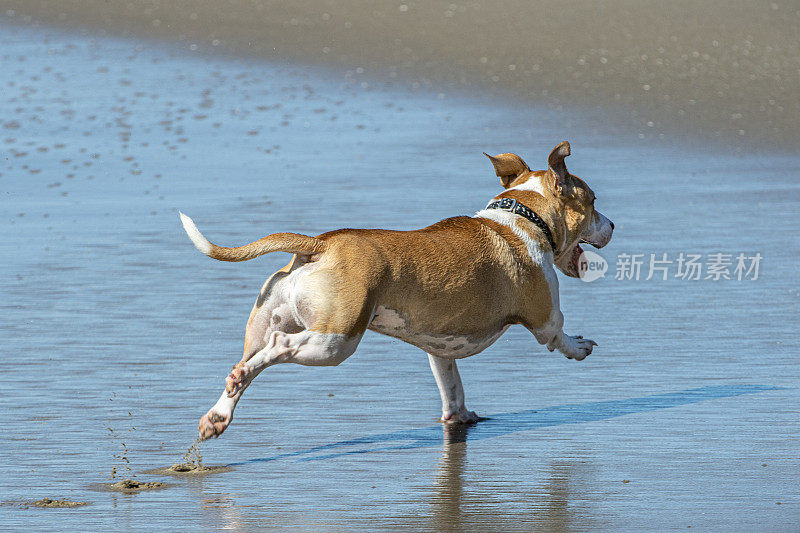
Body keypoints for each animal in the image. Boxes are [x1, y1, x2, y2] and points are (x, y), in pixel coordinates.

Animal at [180, 141, 612, 440]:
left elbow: (452, 387)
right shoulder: (545, 318)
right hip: (335, 340)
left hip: (267, 324)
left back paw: (218, 416)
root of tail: (320, 244)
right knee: (275, 348)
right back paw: (243, 378)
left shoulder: (442, 348)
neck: (524, 215)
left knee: (246, 364)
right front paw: (581, 346)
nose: (612, 225)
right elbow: (559, 335)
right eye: (593, 202)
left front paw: (460, 418)